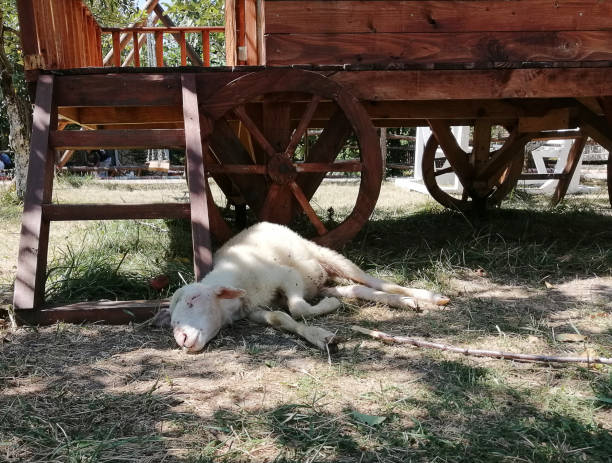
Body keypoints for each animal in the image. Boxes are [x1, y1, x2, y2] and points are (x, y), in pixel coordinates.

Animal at [159, 224, 450, 352]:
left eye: (194, 299)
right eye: (172, 323)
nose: (181, 338)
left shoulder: (288, 277)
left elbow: (297, 308)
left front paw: (328, 311)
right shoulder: (256, 310)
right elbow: (282, 318)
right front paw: (320, 337)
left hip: (324, 257)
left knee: (371, 280)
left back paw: (428, 297)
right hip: (320, 283)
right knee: (358, 291)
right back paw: (401, 302)